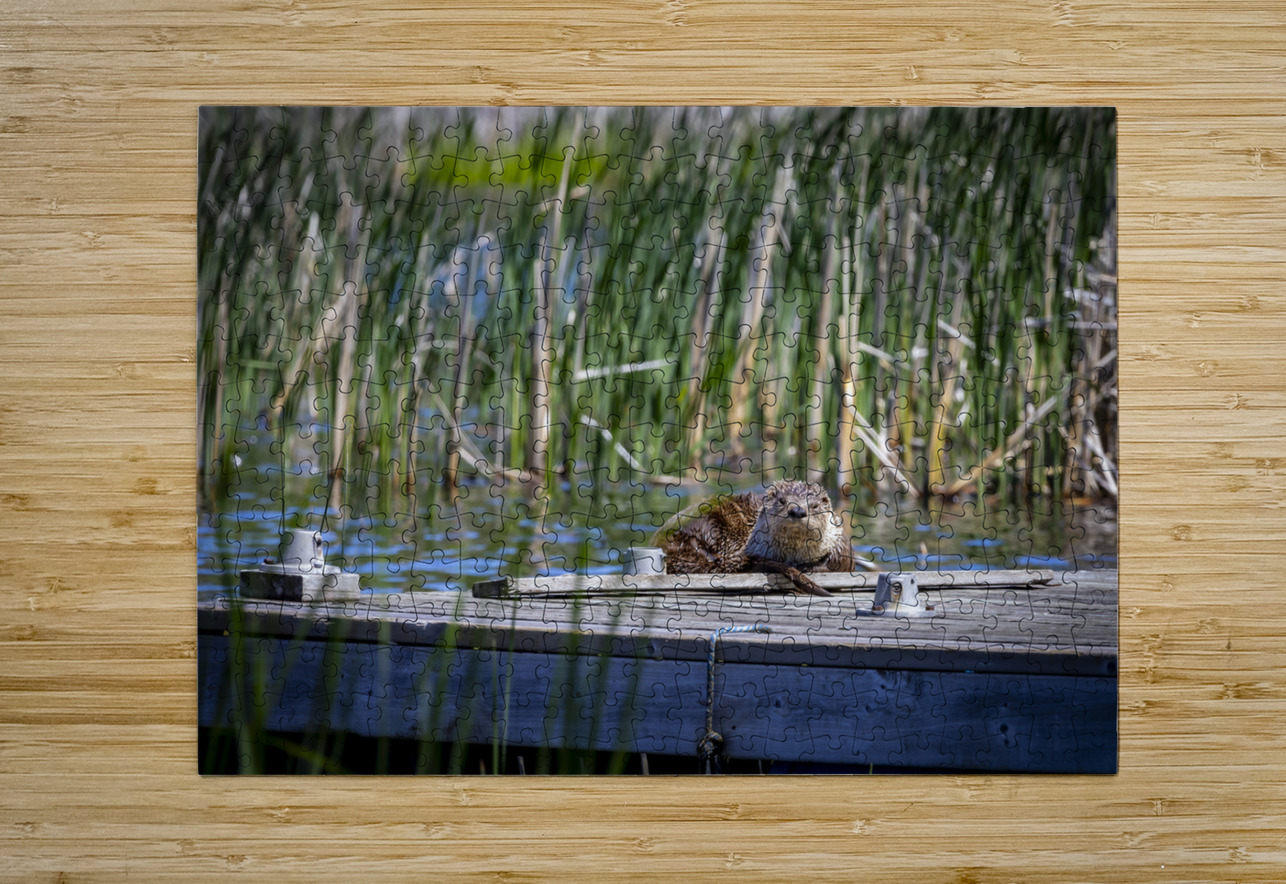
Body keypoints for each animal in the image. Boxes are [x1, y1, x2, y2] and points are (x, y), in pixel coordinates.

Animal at [659, 480, 860, 596]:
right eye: (782, 501)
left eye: (815, 505)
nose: (797, 510)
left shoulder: (839, 542)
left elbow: (839, 562)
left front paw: (812, 566)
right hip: (709, 525)